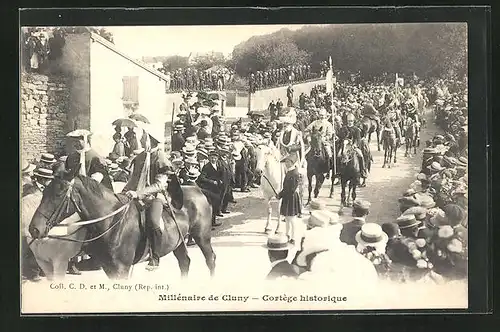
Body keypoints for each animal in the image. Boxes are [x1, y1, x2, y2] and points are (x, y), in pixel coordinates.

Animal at [27, 166, 215, 280]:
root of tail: (197, 190)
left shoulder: (122, 269)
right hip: (179, 243)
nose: (34, 229)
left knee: (210, 259)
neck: (112, 222)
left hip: (202, 237)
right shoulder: (110, 269)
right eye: (44, 192)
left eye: (58, 194)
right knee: (184, 263)